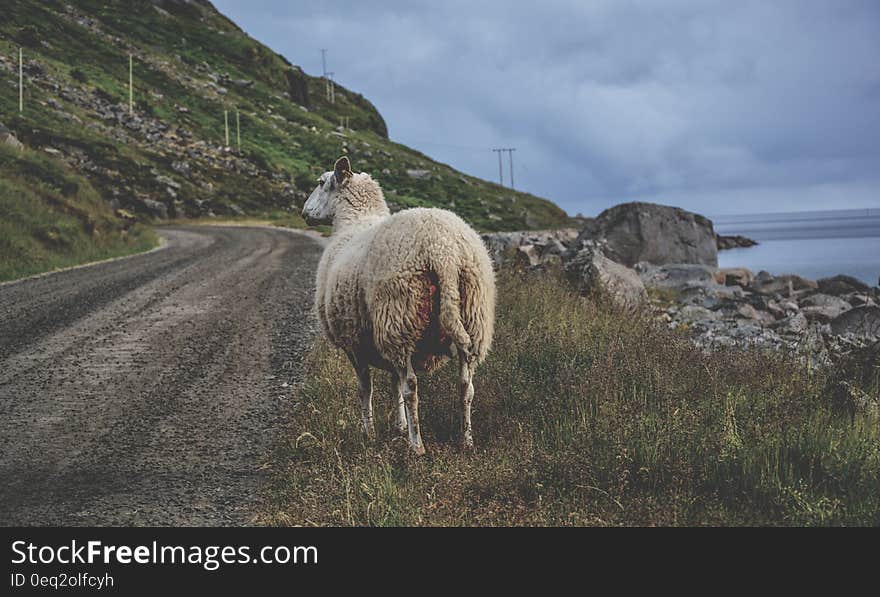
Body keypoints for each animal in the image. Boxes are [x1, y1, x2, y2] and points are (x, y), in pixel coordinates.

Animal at [302, 156, 496, 454]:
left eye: (321, 182)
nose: (304, 212)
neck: (354, 221)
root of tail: (443, 251)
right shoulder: (379, 341)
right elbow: (393, 383)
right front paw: (399, 426)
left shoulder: (353, 341)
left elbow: (366, 388)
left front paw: (369, 432)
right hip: (472, 317)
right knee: (466, 385)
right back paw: (466, 440)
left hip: (399, 316)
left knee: (412, 386)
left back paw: (417, 446)